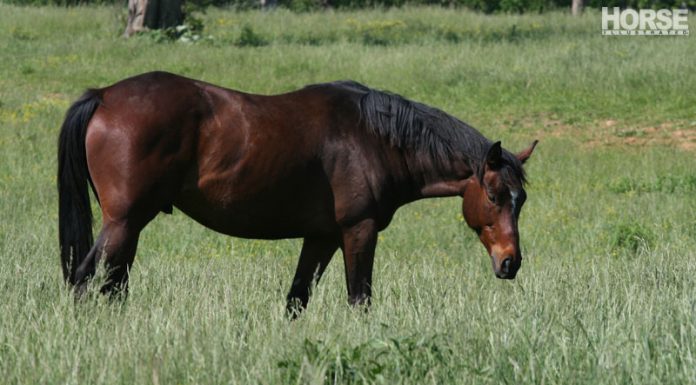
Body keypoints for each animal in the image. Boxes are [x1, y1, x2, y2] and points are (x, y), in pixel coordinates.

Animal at [58, 71, 540, 312]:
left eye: (522, 200)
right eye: (495, 196)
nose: (510, 263)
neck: (373, 138)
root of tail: (105, 95)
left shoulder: (321, 237)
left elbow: (297, 299)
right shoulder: (358, 230)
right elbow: (359, 298)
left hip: (130, 227)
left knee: (112, 284)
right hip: (124, 222)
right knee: (84, 281)